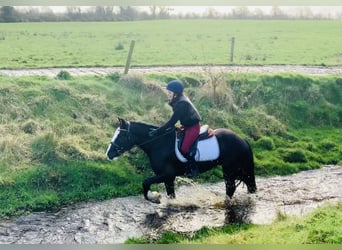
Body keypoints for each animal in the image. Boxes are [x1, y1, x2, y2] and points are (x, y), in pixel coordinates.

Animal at [107, 117, 256, 203]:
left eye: (120, 136)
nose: (108, 154)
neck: (158, 143)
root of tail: (242, 139)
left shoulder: (166, 174)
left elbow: (145, 183)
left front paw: (155, 198)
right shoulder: (168, 178)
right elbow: (170, 195)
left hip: (229, 169)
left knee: (231, 188)